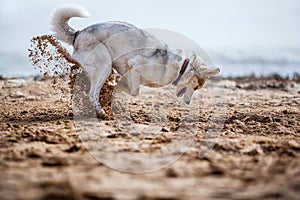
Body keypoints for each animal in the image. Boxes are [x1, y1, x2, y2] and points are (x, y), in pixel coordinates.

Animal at [51, 5, 220, 117]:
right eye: (196, 87)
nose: (188, 103)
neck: (180, 67)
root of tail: (78, 34)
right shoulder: (135, 65)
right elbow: (134, 91)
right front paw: (117, 88)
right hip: (104, 66)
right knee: (92, 94)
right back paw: (101, 112)